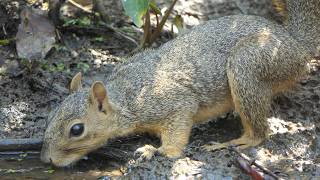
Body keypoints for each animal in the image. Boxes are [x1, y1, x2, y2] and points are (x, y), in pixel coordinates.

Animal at [41, 0, 318, 167]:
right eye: (50, 115)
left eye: (77, 130)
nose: (46, 160)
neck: (126, 95)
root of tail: (295, 43)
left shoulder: (172, 103)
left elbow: (178, 130)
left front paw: (158, 151)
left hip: (248, 65)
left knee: (259, 133)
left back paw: (234, 142)